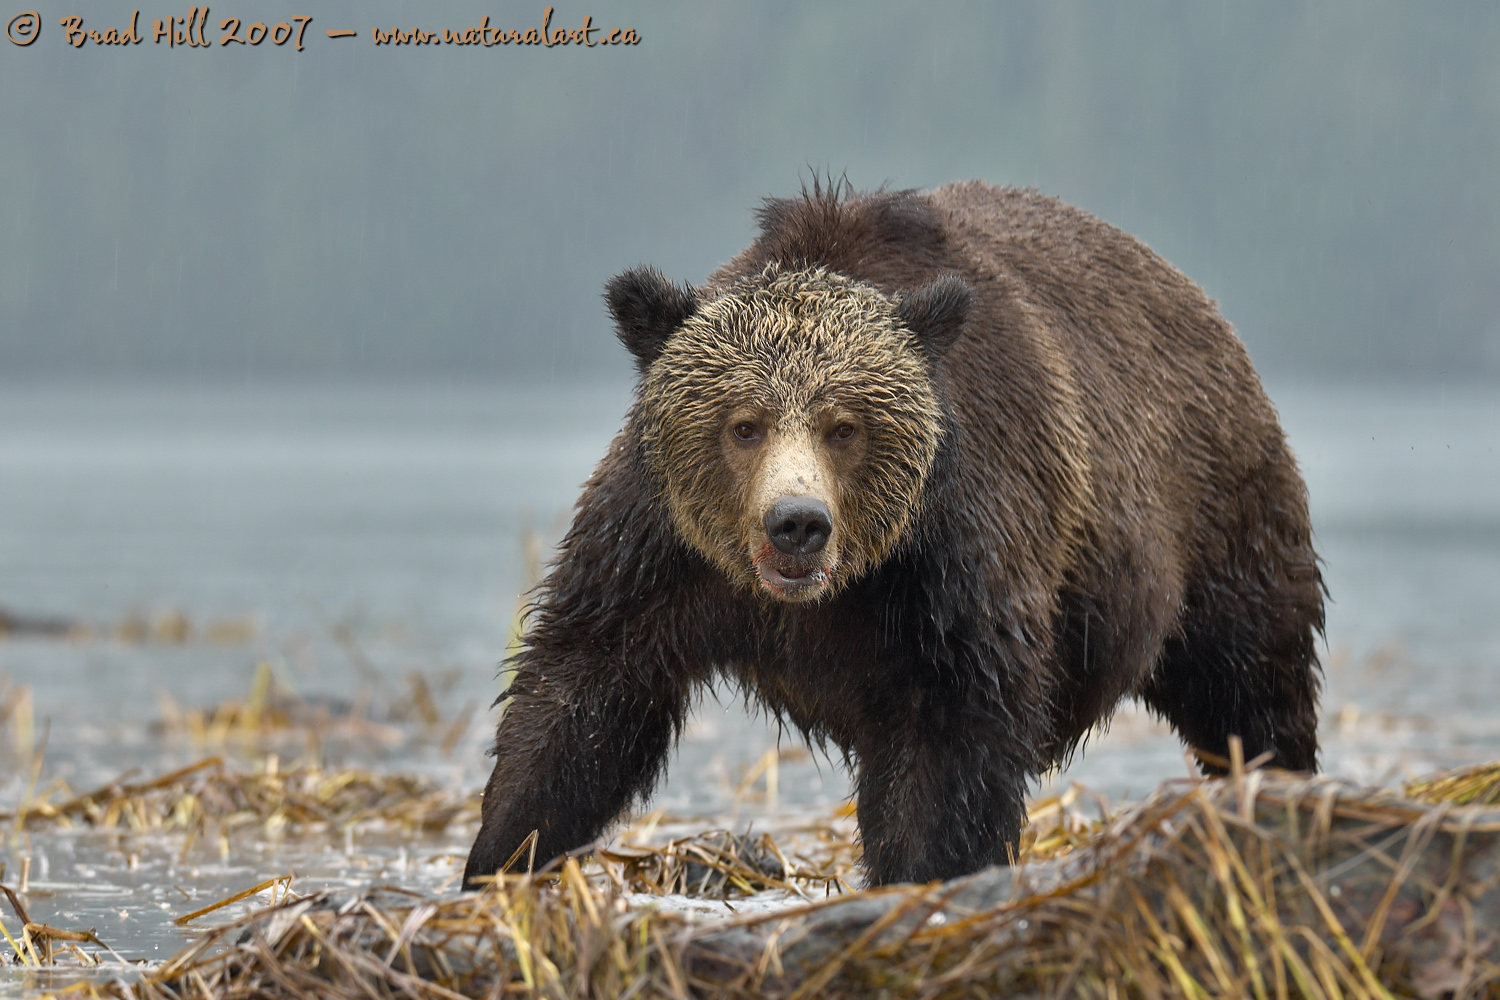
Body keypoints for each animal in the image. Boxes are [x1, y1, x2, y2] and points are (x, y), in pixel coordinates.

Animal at [462, 177, 1320, 881]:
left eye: (844, 427)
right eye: (744, 424)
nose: (796, 524)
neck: (820, 597)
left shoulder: (948, 570)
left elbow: (946, 750)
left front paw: (922, 875)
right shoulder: (656, 544)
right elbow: (582, 696)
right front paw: (498, 857)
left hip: (1214, 515)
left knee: (1249, 683)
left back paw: (1283, 787)